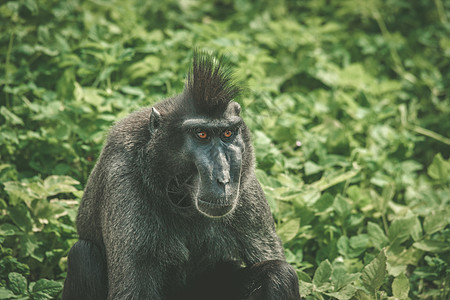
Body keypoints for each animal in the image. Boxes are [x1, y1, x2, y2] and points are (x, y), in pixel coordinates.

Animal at [61, 50, 300, 298]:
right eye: (201, 134)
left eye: (227, 133)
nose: (224, 180)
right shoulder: (123, 181)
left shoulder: (247, 187)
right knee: (83, 254)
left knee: (279, 273)